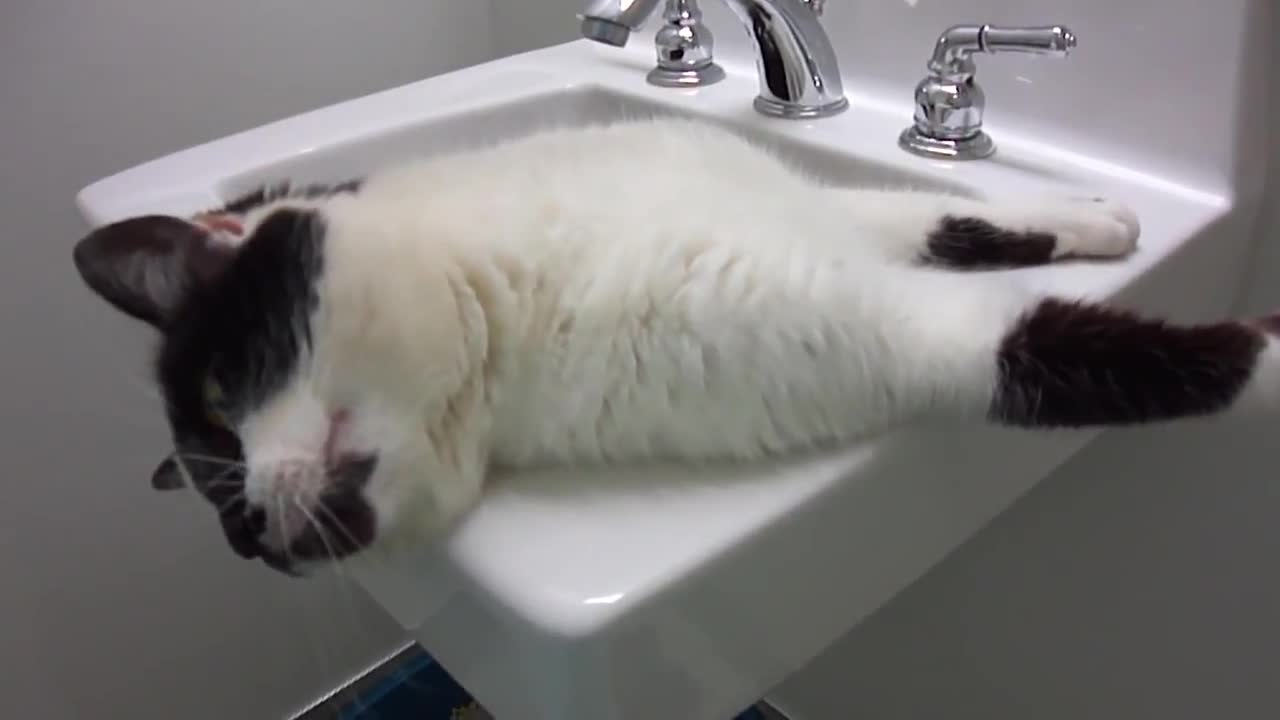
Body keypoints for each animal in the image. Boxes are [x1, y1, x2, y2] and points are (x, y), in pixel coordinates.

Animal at [72, 120, 1280, 573]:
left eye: (220, 391)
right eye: (211, 449)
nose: (247, 536)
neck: (498, 267)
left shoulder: (820, 216)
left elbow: (940, 214)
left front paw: (1093, 216)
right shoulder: (907, 334)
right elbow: (1129, 355)